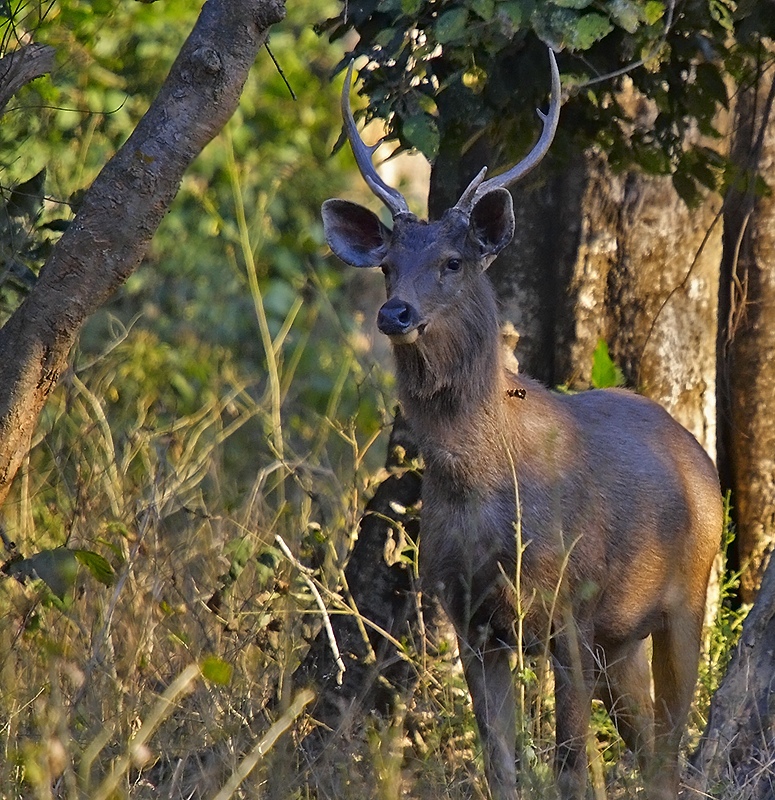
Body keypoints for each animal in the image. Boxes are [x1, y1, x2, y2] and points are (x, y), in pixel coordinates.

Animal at [322, 51, 720, 800]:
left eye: (452, 262)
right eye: (387, 264)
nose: (394, 312)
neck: (484, 488)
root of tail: (699, 456)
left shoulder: (571, 604)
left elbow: (568, 763)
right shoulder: (469, 618)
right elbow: (500, 763)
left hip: (687, 595)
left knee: (669, 753)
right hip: (620, 639)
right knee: (650, 746)